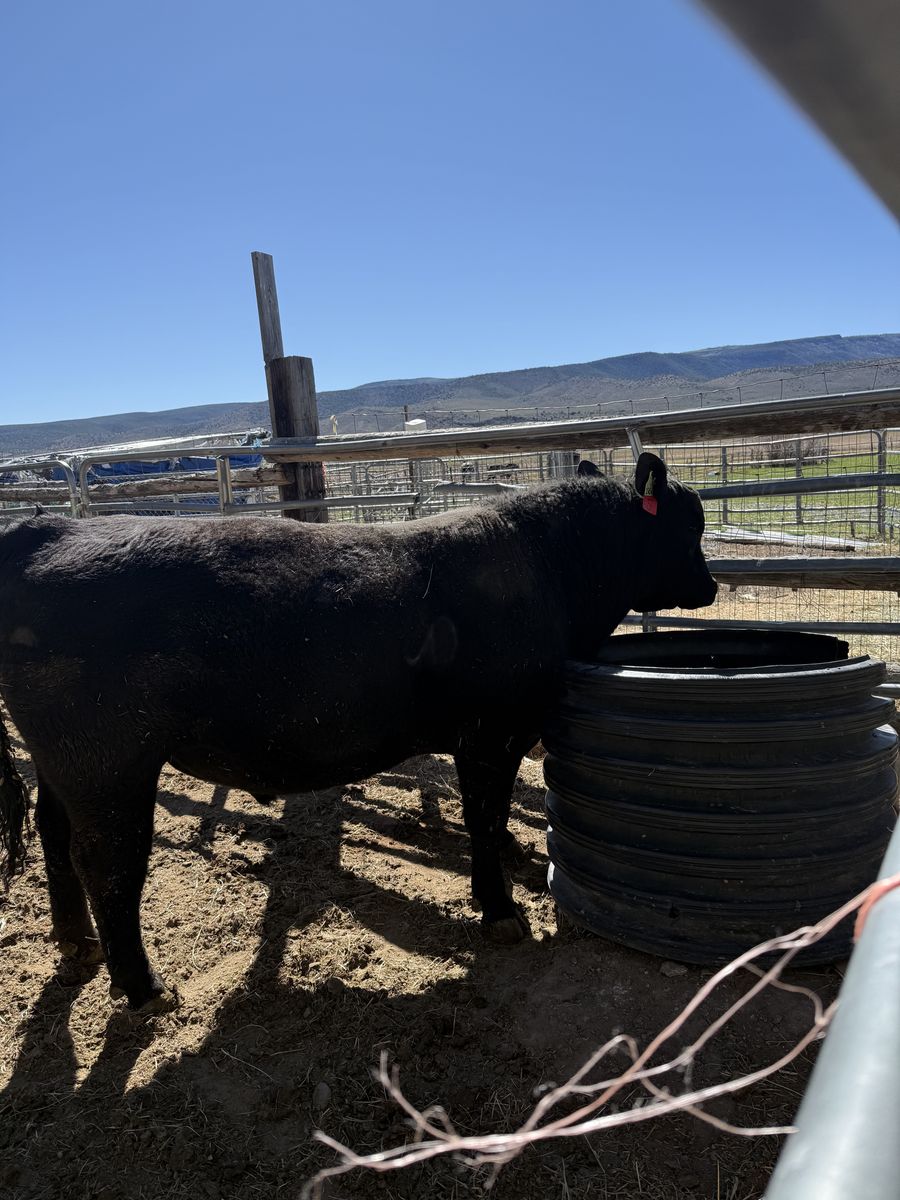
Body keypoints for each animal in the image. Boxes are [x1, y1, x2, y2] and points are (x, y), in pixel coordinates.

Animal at [0, 453, 716, 1011]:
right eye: (690, 525)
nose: (710, 585)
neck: (549, 571)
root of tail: (47, 528)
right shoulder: (490, 734)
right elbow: (484, 816)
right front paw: (501, 912)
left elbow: (496, 816)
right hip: (108, 762)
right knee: (105, 861)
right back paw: (143, 987)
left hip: (61, 761)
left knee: (52, 832)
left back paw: (76, 940)